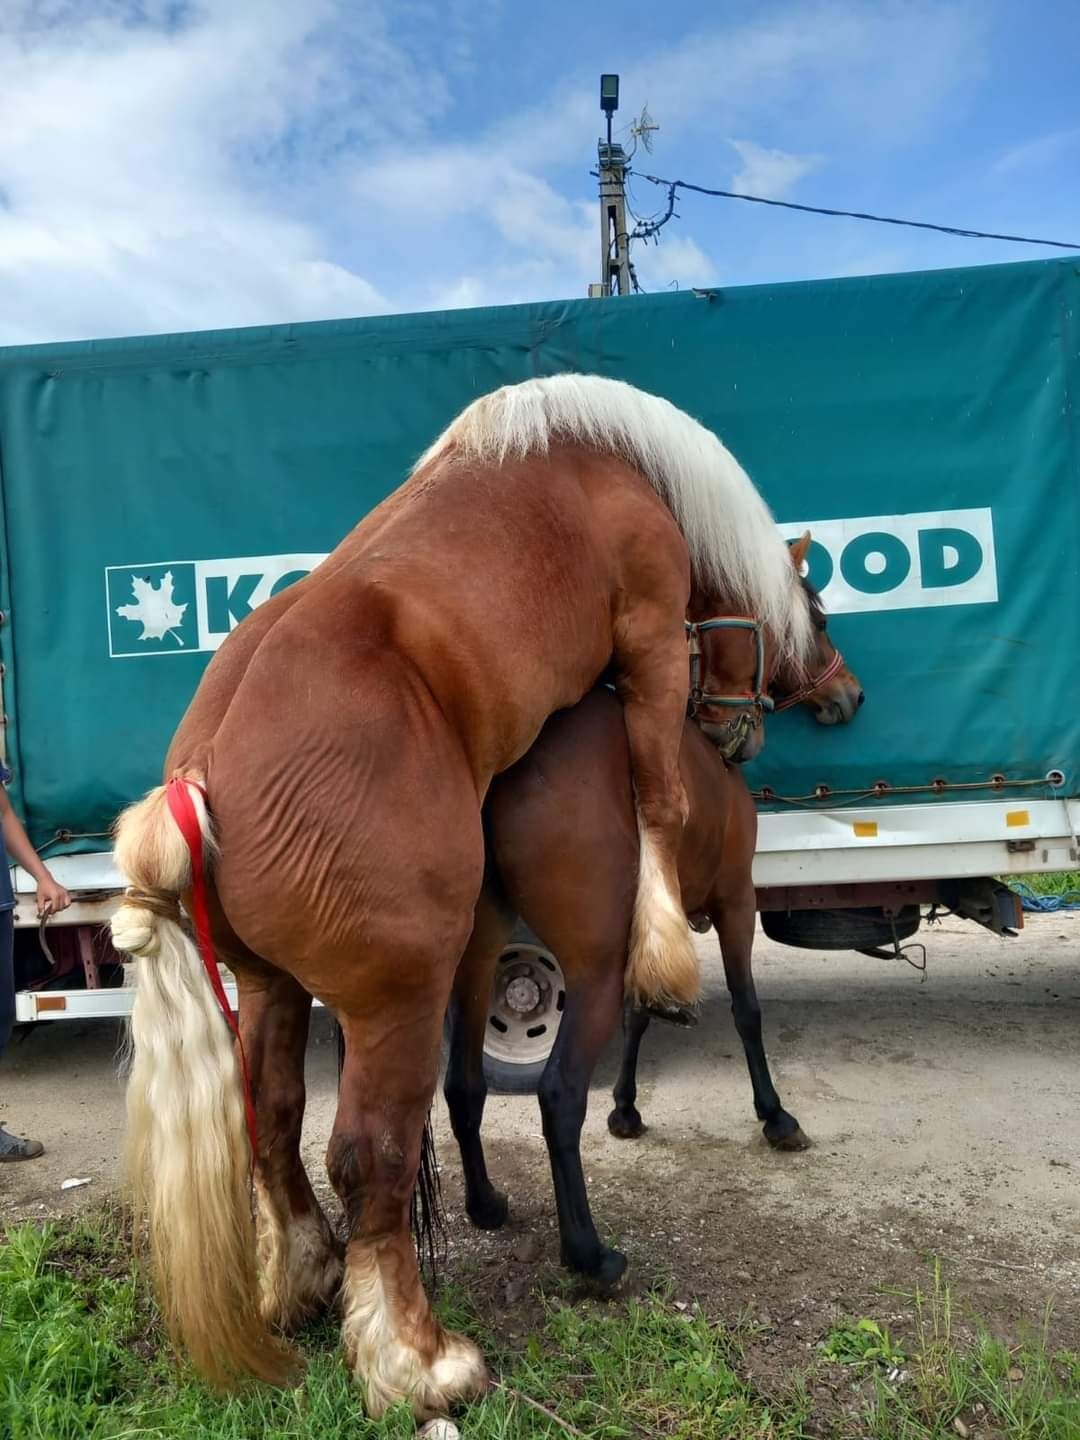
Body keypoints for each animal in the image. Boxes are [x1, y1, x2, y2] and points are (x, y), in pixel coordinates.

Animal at [112, 374, 817, 1416]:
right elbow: (659, 789)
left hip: (272, 986)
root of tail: (201, 777)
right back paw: (418, 1361)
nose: (752, 731)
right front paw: (661, 948)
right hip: (398, 1004)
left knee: (272, 1120)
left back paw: (305, 1280)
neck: (607, 459)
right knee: (370, 1154)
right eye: (812, 609)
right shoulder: (648, 637)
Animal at [440, 552, 864, 1296]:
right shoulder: (734, 901)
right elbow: (748, 1009)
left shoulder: (653, 922)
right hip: (590, 968)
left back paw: (486, 1204)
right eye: (816, 617)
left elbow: (642, 1014)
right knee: (557, 1095)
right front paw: (774, 1115)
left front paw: (628, 1109)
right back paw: (589, 1254)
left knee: (464, 1085)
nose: (851, 694)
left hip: (478, 961)